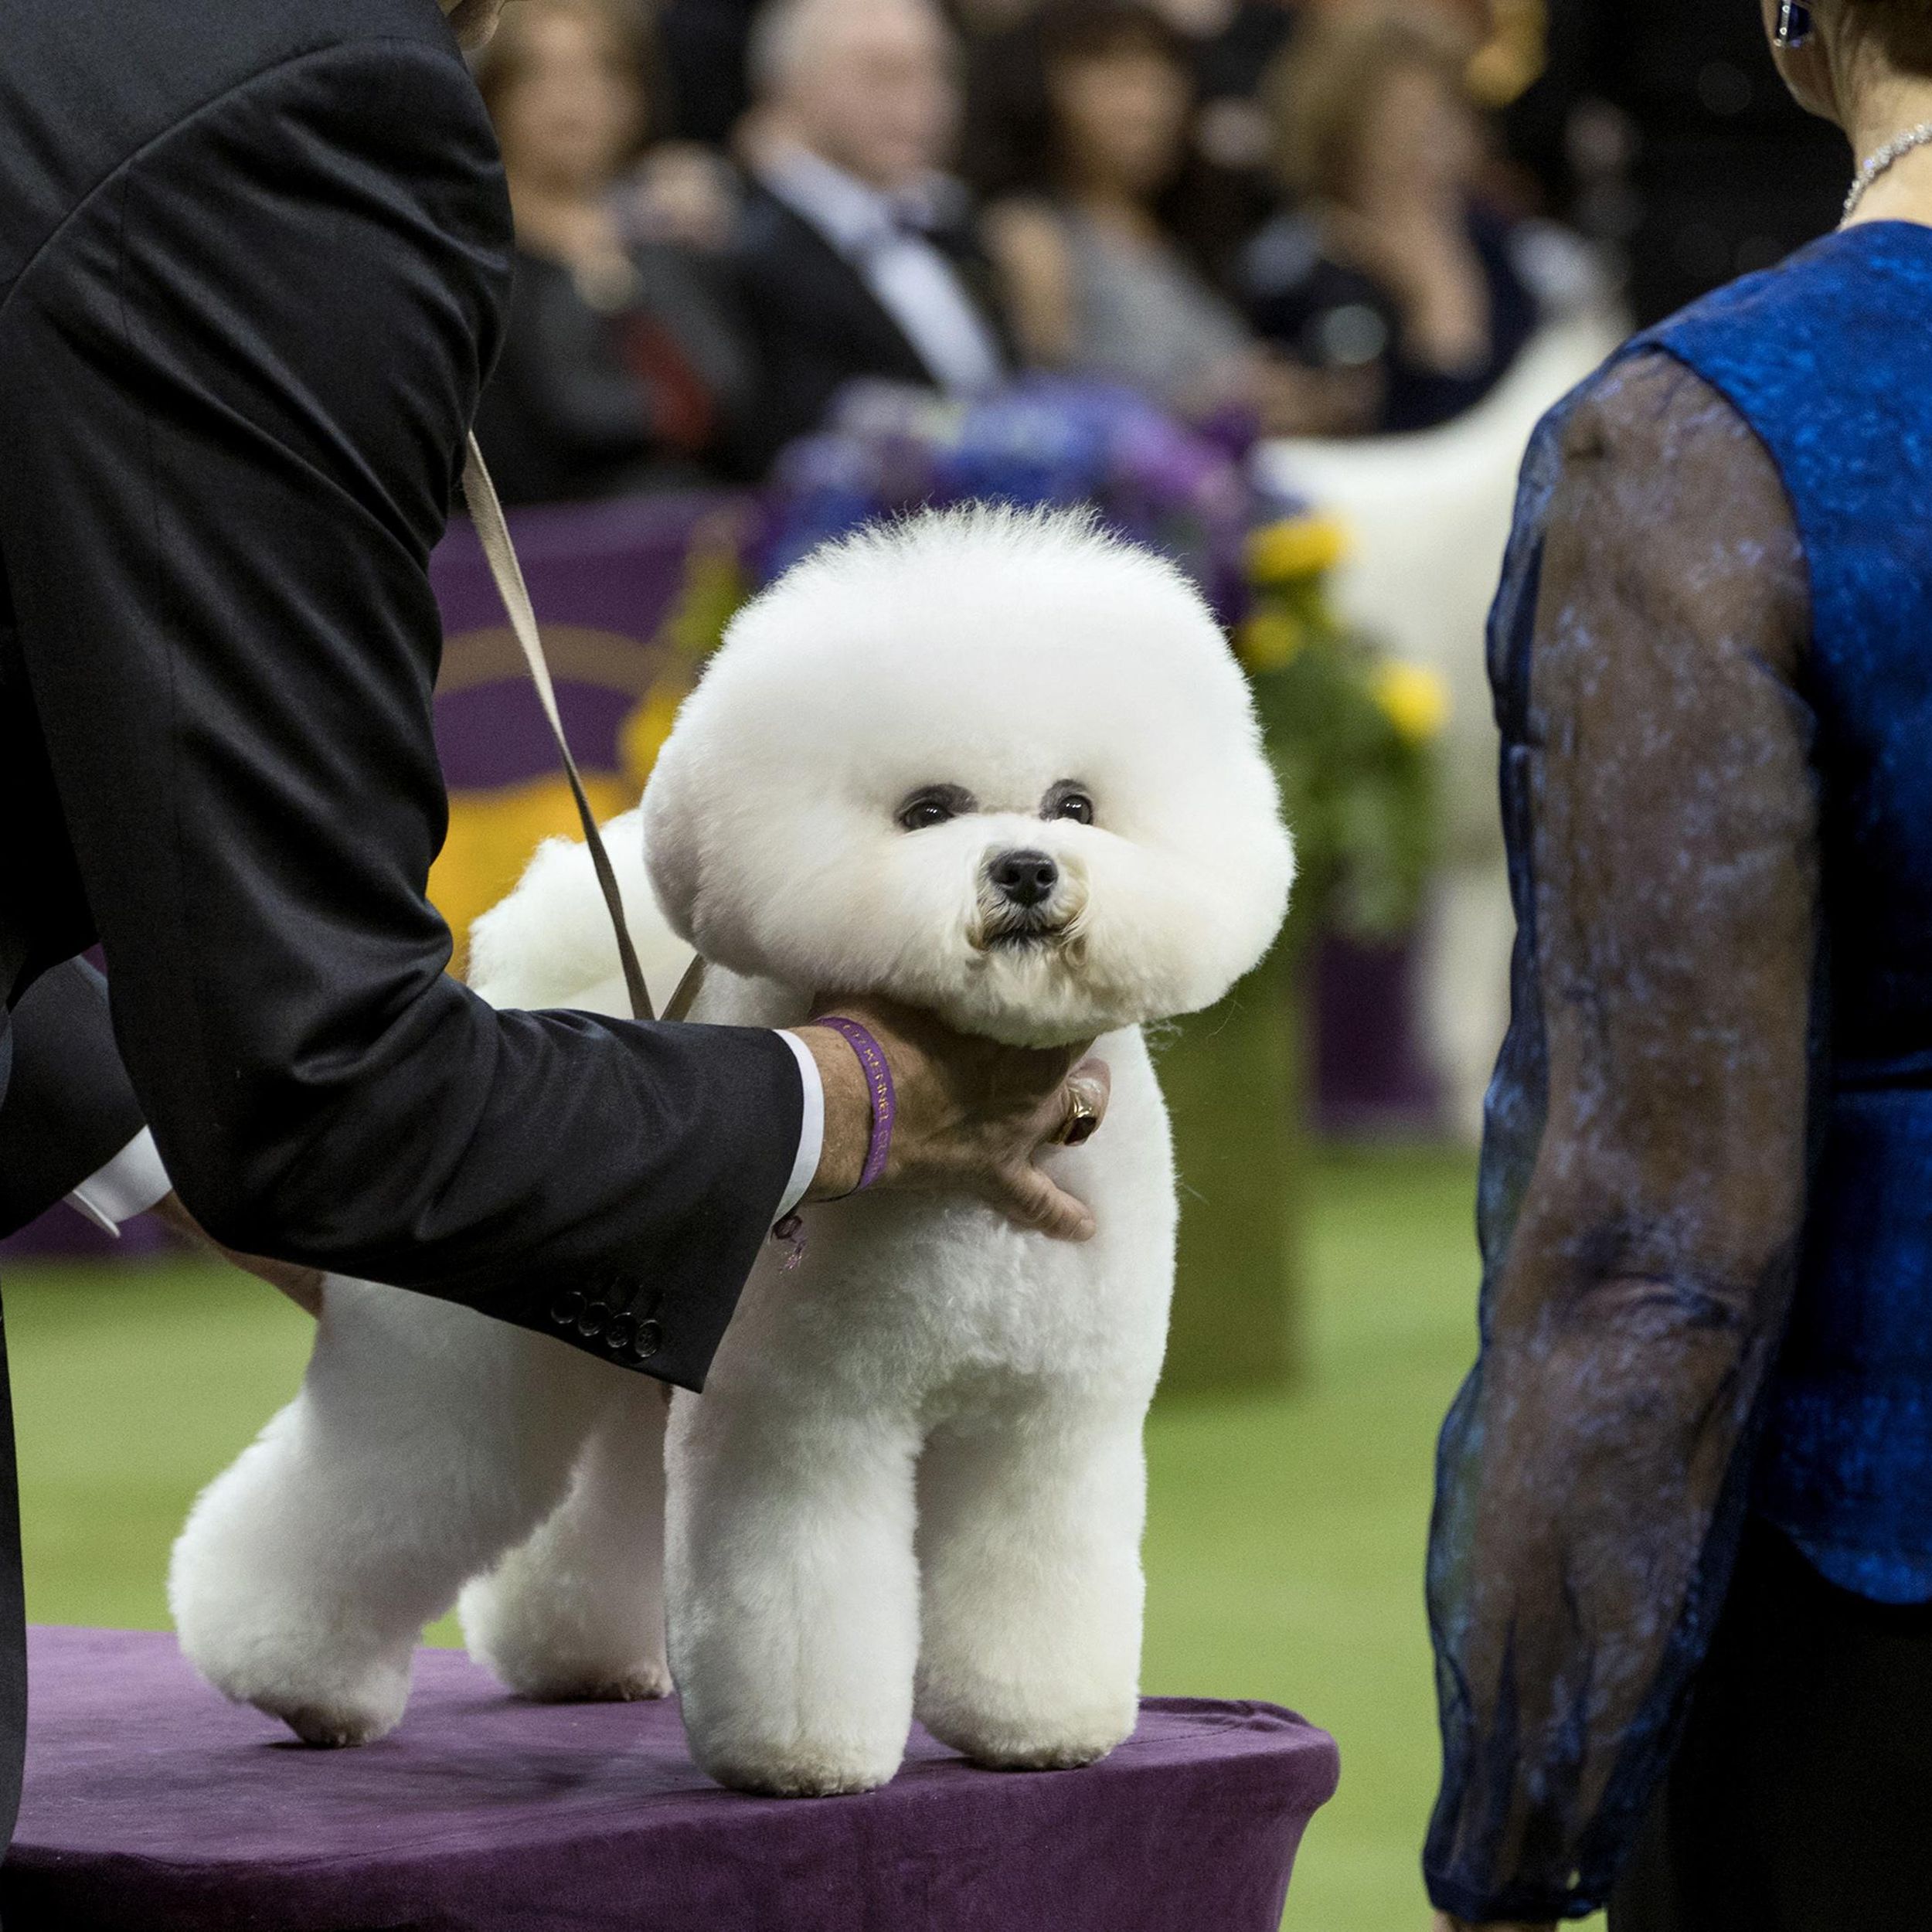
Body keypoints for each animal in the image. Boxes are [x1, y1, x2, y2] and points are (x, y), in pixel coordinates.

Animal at [170, 510, 1283, 1793]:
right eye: (928, 810)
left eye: (1075, 804)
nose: (1025, 871)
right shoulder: (798, 1424)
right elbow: (802, 1598)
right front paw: (802, 1758)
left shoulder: (1049, 1423)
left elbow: (1034, 1579)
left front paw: (1038, 1726)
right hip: (464, 1369)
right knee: (375, 1493)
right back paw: (290, 1674)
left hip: (628, 1364)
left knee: (585, 1511)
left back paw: (577, 1659)